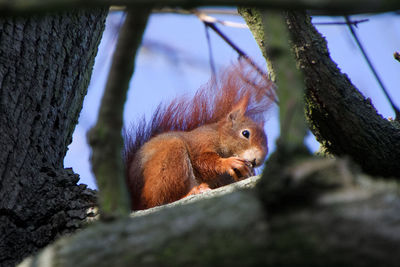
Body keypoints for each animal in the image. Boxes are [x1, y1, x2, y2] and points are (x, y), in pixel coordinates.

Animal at [125, 64, 276, 211]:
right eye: (245, 133)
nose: (257, 161)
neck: (218, 136)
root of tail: (136, 201)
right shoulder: (201, 141)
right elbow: (202, 161)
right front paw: (228, 163)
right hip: (169, 159)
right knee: (159, 201)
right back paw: (192, 192)